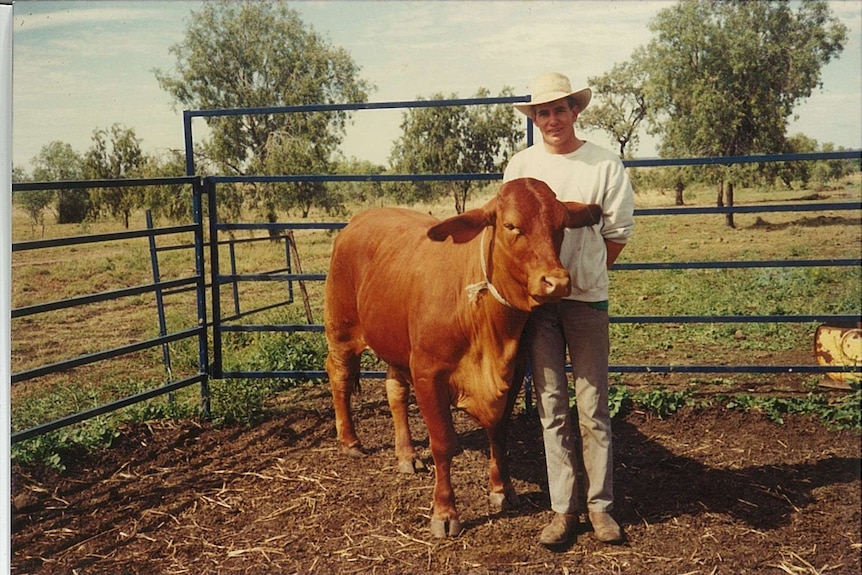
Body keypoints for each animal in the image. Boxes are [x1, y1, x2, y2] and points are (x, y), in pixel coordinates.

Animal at [322, 178, 600, 536]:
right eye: (511, 226)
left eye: (561, 224)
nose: (557, 281)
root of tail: (359, 220)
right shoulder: (428, 374)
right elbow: (443, 443)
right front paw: (444, 512)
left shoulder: (513, 372)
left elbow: (499, 432)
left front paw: (502, 489)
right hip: (340, 330)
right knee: (339, 376)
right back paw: (350, 441)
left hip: (396, 344)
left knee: (395, 391)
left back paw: (406, 455)